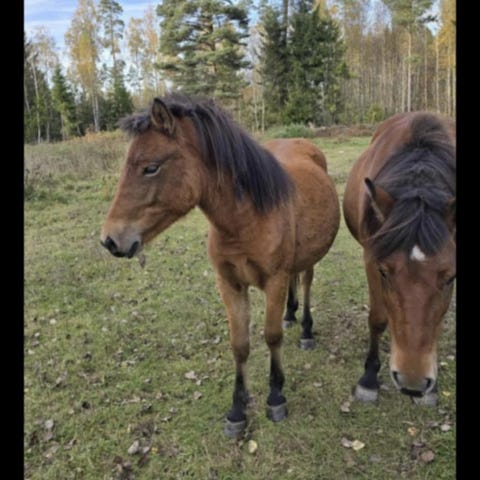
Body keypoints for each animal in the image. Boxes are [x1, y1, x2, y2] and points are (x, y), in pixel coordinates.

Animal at [100, 95, 340, 436]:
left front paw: (275, 397)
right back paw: (291, 315)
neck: (246, 218)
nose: (110, 239)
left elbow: (271, 336)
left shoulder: (274, 281)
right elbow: (239, 344)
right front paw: (237, 410)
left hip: (310, 259)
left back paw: (306, 329)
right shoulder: (229, 284)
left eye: (151, 168)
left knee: (305, 282)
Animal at [342, 111, 455, 406]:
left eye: (451, 277)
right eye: (384, 272)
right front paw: (369, 379)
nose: (412, 382)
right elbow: (378, 318)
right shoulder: (371, 260)